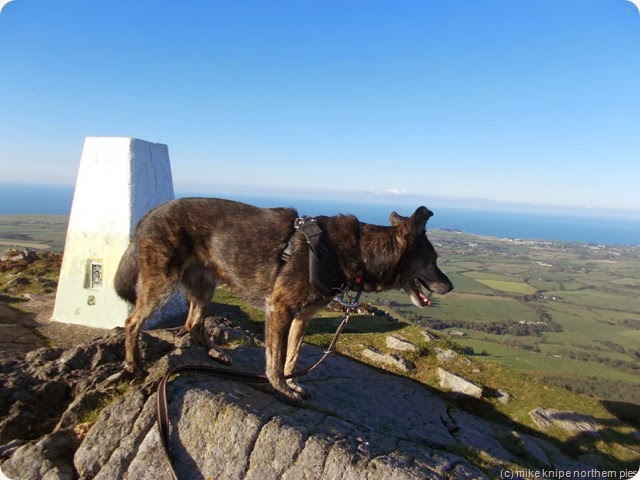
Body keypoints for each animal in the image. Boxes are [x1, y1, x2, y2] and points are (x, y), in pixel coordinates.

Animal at [116, 197, 456, 404]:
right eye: (433, 260)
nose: (451, 286)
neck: (360, 250)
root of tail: (150, 214)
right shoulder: (279, 309)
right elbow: (276, 360)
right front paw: (281, 388)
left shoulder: (301, 317)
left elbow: (292, 356)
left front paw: (291, 383)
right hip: (162, 283)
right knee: (133, 321)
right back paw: (133, 364)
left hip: (204, 285)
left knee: (194, 323)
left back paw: (214, 353)